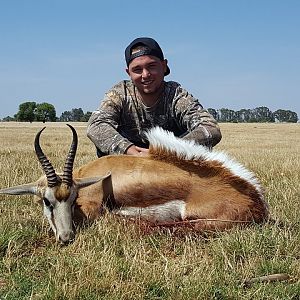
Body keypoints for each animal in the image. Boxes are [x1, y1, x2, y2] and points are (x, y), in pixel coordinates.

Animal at [0, 124, 268, 244]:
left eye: (73, 198)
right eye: (47, 201)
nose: (66, 238)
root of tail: (257, 201)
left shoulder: (93, 210)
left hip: (196, 222)